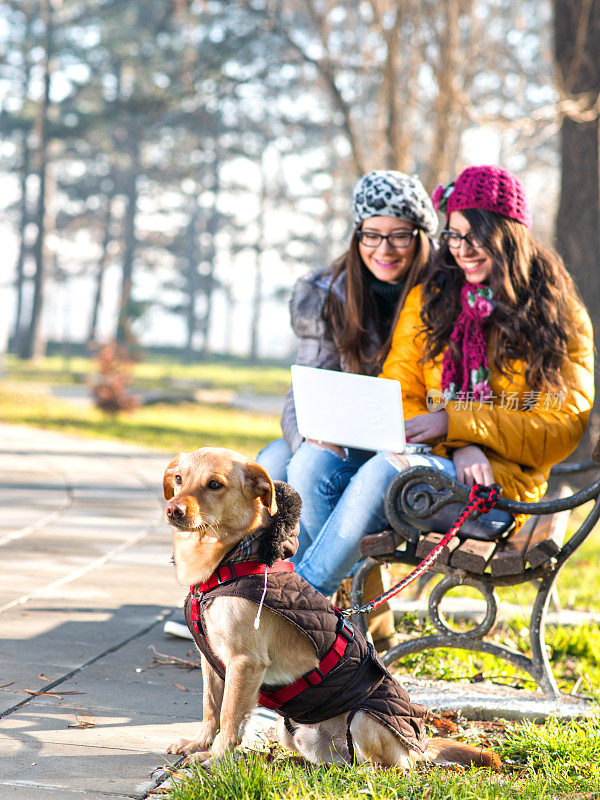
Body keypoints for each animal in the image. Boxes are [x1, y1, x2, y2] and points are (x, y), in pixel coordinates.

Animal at [162, 446, 500, 772]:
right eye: (178, 479)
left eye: (215, 484)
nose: (173, 510)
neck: (225, 566)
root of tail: (421, 747)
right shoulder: (211, 660)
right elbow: (210, 708)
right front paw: (199, 744)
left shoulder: (245, 662)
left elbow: (231, 717)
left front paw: (214, 758)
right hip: (292, 732)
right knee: (336, 759)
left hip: (364, 717)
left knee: (384, 765)